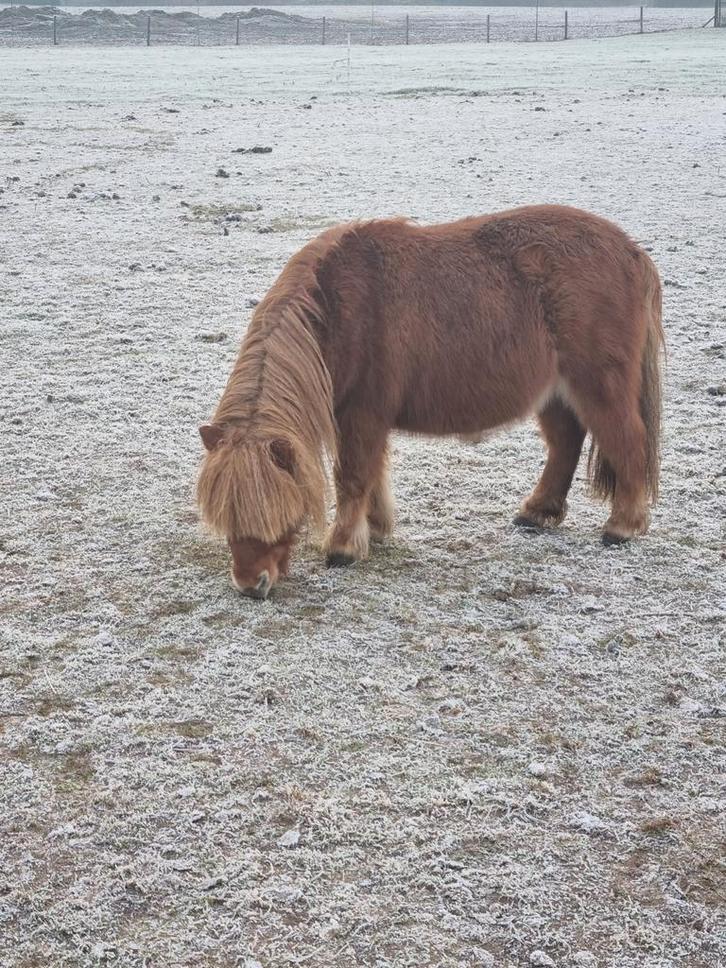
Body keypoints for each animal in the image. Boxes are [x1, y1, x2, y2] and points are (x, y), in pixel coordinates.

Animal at [197, 205, 664, 599]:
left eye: (272, 508)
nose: (250, 585)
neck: (337, 312)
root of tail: (632, 251)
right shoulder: (363, 419)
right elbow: (373, 473)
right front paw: (376, 529)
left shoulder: (362, 416)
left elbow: (353, 476)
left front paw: (343, 548)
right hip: (554, 394)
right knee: (565, 443)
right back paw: (537, 513)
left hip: (600, 387)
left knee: (627, 441)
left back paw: (622, 527)